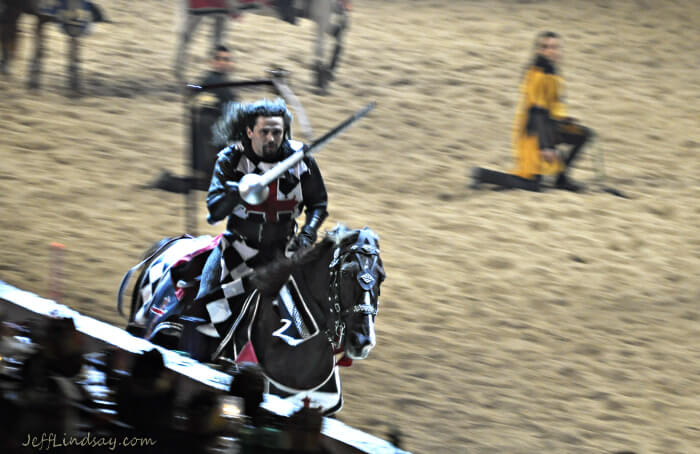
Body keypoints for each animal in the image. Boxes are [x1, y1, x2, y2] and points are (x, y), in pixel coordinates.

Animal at [175, 0, 350, 93]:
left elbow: (337, 34)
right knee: (186, 36)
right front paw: (321, 78)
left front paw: (326, 75)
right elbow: (321, 45)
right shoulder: (321, 10)